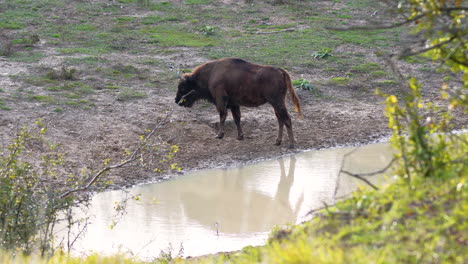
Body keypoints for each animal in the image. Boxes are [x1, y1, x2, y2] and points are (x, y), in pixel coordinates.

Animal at [176, 58, 304, 148]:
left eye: (182, 87)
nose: (177, 101)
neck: (211, 74)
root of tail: (281, 71)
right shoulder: (234, 104)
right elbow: (236, 119)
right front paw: (240, 137)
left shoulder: (221, 102)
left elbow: (223, 116)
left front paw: (219, 135)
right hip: (275, 104)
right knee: (280, 119)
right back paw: (277, 142)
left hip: (277, 102)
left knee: (286, 119)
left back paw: (291, 144)